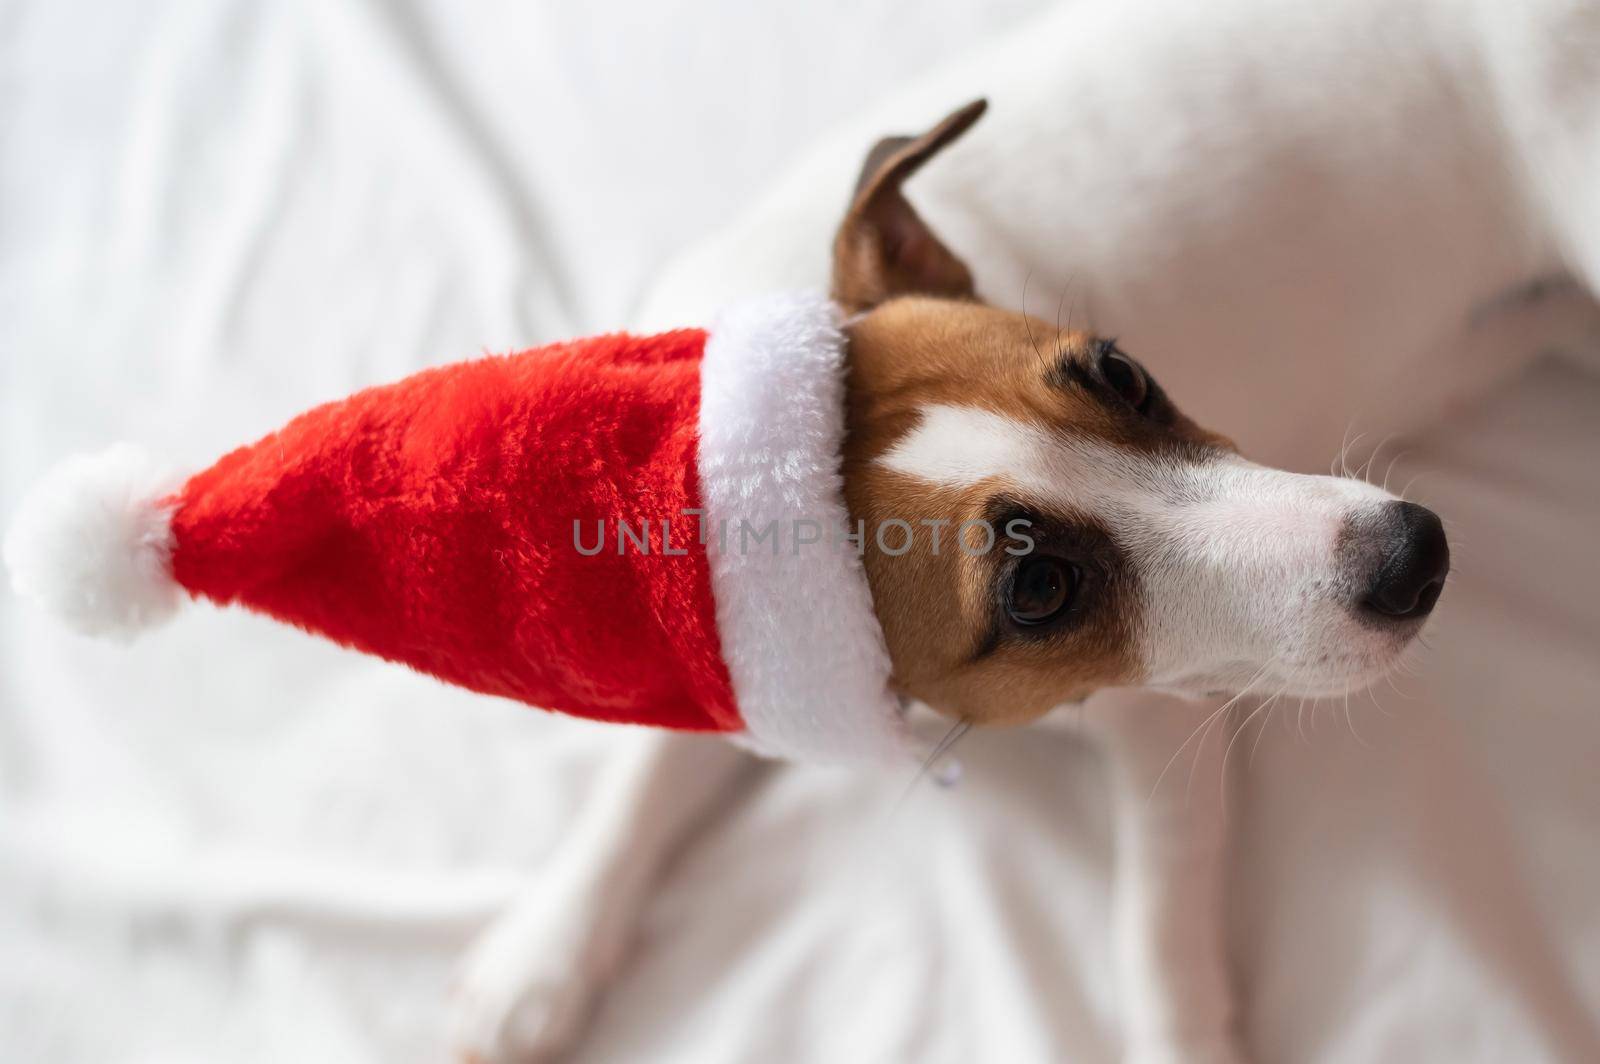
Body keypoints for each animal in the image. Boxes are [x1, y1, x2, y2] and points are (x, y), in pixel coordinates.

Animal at [448, 93, 1465, 1062]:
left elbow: (1156, 932)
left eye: (1124, 375)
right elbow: (644, 778)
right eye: (1039, 591)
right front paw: (539, 960)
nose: (1416, 553)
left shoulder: (1161, 726)